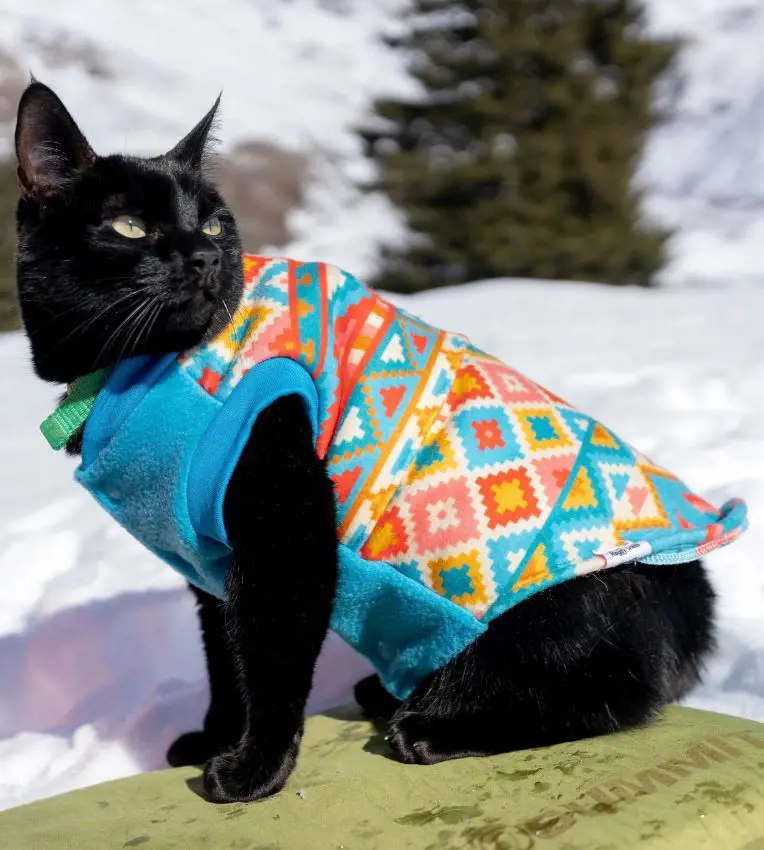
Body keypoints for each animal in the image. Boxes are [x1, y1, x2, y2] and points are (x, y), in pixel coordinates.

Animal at [11, 81, 716, 800]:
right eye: (129, 225)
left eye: (212, 223)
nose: (205, 255)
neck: (127, 371)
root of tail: (695, 605)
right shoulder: (208, 558)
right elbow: (225, 664)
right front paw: (214, 739)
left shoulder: (286, 532)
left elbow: (271, 665)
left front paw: (254, 770)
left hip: (553, 613)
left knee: (616, 697)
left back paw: (431, 727)